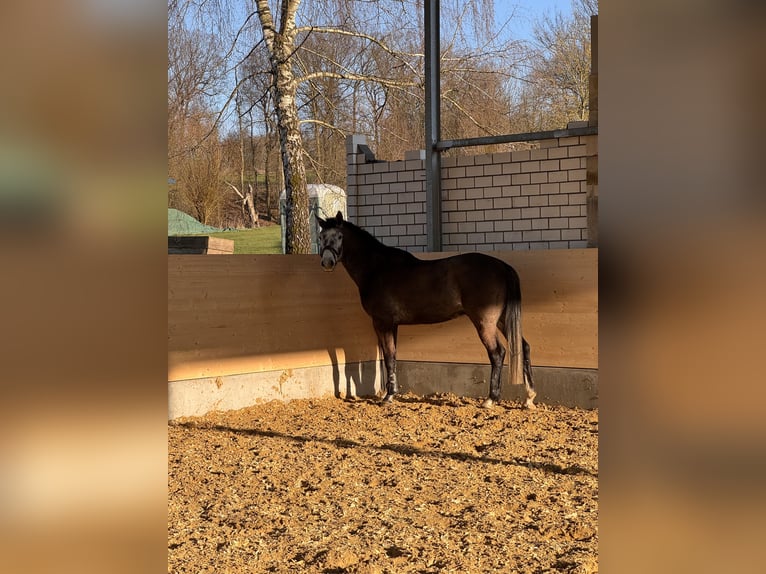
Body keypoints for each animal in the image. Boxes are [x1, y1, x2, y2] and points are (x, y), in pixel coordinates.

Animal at [317, 211, 536, 409]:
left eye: (339, 236)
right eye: (321, 237)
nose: (327, 262)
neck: (376, 268)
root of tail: (502, 266)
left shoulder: (382, 322)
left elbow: (388, 356)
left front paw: (388, 397)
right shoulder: (393, 324)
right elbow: (393, 355)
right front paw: (392, 393)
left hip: (485, 322)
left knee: (497, 353)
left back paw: (490, 399)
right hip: (501, 320)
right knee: (523, 347)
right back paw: (529, 398)